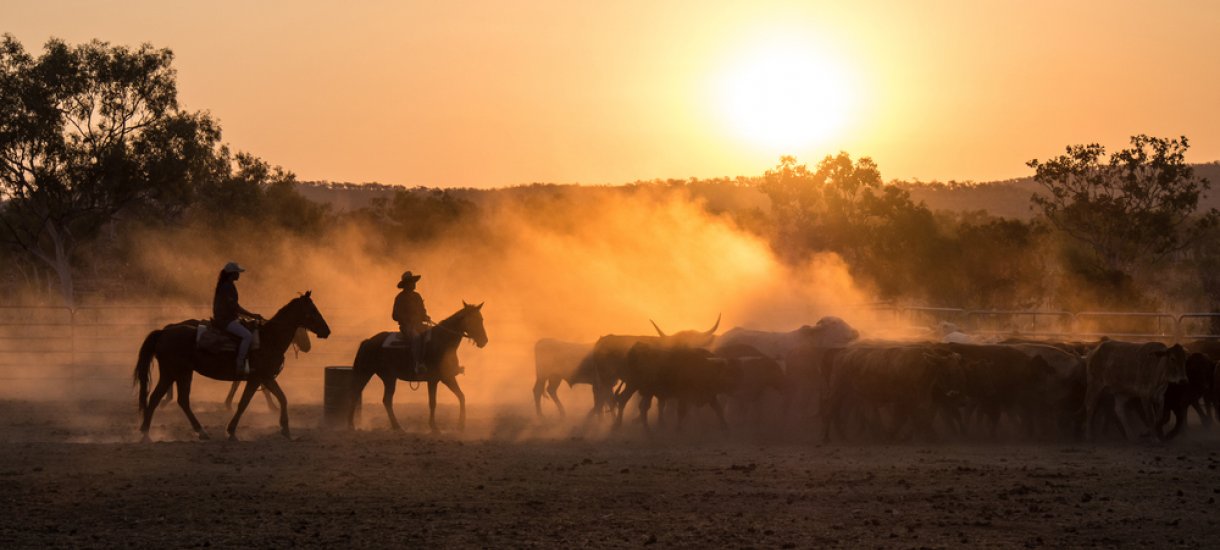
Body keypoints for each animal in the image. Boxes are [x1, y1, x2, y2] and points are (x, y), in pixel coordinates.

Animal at [133, 292, 331, 443]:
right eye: (312, 310)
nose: (327, 330)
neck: (269, 339)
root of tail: (164, 332)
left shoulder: (266, 377)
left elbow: (282, 398)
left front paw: (286, 430)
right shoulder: (257, 378)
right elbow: (244, 403)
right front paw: (231, 431)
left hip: (177, 373)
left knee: (167, 399)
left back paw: (155, 433)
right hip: (176, 372)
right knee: (167, 399)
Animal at [348, 301, 485, 434]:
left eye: (481, 319)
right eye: (473, 320)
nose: (484, 340)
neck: (442, 342)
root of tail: (368, 341)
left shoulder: (447, 377)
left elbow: (461, 396)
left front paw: (460, 426)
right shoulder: (433, 380)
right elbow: (433, 402)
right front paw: (434, 427)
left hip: (388, 377)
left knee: (385, 400)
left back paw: (396, 427)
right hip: (368, 373)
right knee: (357, 394)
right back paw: (352, 425)